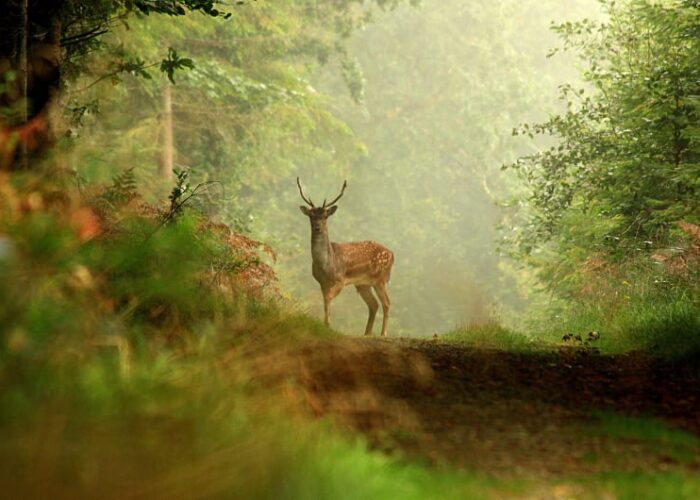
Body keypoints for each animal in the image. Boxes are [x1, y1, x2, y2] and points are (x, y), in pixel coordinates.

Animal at [297, 178, 394, 337]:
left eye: (325, 216)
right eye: (311, 215)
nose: (317, 227)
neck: (326, 265)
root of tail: (392, 254)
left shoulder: (340, 279)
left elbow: (329, 298)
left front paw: (327, 324)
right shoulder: (322, 282)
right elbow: (325, 300)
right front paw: (326, 324)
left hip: (380, 278)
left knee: (386, 302)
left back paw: (383, 333)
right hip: (363, 283)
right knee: (373, 304)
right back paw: (367, 333)